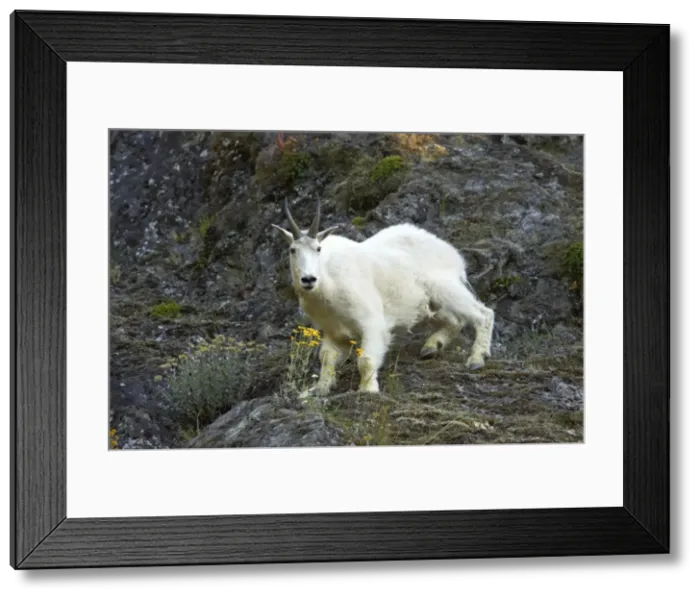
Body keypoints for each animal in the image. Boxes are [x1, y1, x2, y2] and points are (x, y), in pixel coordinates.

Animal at [272, 198, 495, 395]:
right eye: (292, 250)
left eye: (318, 249)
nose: (308, 279)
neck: (328, 281)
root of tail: (451, 253)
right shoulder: (333, 331)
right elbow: (326, 358)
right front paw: (318, 390)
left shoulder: (371, 323)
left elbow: (366, 360)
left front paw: (368, 390)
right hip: (429, 306)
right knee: (456, 320)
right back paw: (432, 346)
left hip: (445, 289)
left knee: (483, 314)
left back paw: (476, 358)